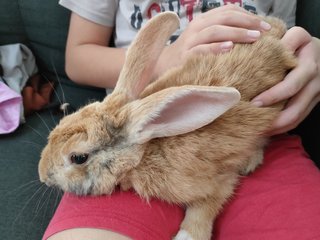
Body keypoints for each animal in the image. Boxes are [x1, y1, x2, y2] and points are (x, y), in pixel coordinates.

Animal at [38, 11, 296, 240]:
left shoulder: (217, 180)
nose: (43, 175)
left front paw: (187, 236)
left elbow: (207, 205)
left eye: (78, 158)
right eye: (62, 121)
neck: (146, 151)